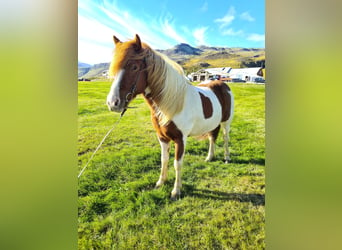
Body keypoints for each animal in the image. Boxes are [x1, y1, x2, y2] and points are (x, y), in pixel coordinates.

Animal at [107, 34, 234, 199]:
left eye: (134, 67)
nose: (113, 103)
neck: (171, 104)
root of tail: (223, 84)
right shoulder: (162, 138)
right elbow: (164, 159)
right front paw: (160, 182)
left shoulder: (180, 139)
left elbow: (177, 163)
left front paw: (176, 191)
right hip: (213, 123)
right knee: (213, 137)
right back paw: (209, 157)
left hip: (226, 122)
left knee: (225, 138)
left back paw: (227, 158)